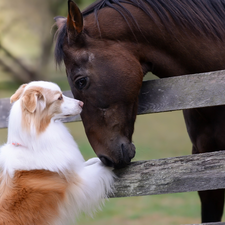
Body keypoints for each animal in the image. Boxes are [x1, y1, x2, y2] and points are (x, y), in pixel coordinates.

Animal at [0, 81, 114, 225]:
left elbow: (87, 163)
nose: (82, 103)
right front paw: (109, 162)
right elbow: (98, 168)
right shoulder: (79, 181)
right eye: (59, 98)